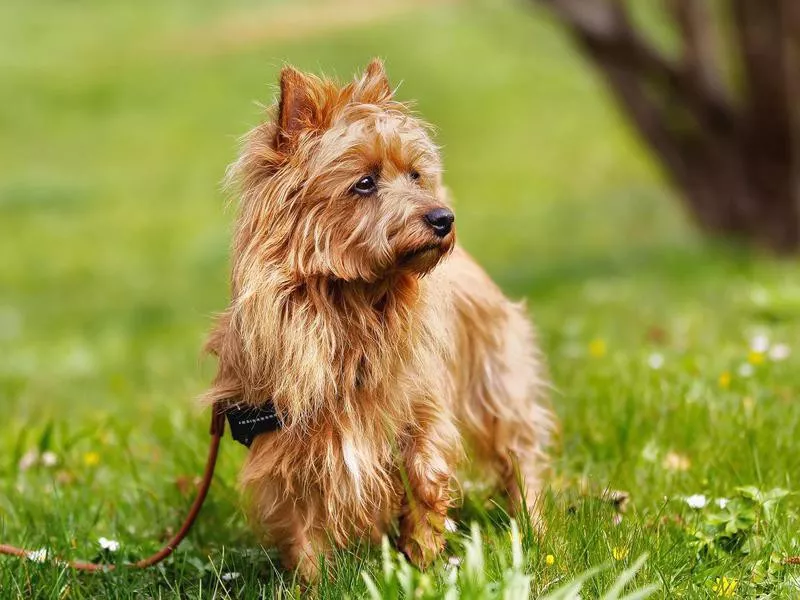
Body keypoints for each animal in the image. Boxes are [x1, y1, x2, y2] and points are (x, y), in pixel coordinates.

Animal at [205, 59, 556, 580]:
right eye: (364, 182)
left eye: (415, 174)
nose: (443, 218)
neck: (351, 304)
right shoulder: (288, 441)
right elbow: (301, 521)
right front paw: (314, 582)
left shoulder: (421, 408)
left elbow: (425, 479)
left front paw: (424, 563)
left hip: (496, 380)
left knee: (519, 453)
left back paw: (535, 529)